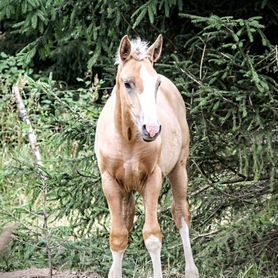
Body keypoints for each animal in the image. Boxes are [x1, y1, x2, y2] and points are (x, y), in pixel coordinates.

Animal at [94, 34, 199, 278]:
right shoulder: (109, 182)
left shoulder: (153, 179)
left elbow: (152, 237)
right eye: (127, 83)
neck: (127, 139)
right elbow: (118, 237)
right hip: (127, 190)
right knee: (127, 223)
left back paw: (192, 271)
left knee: (181, 214)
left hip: (179, 169)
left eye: (156, 84)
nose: (151, 129)